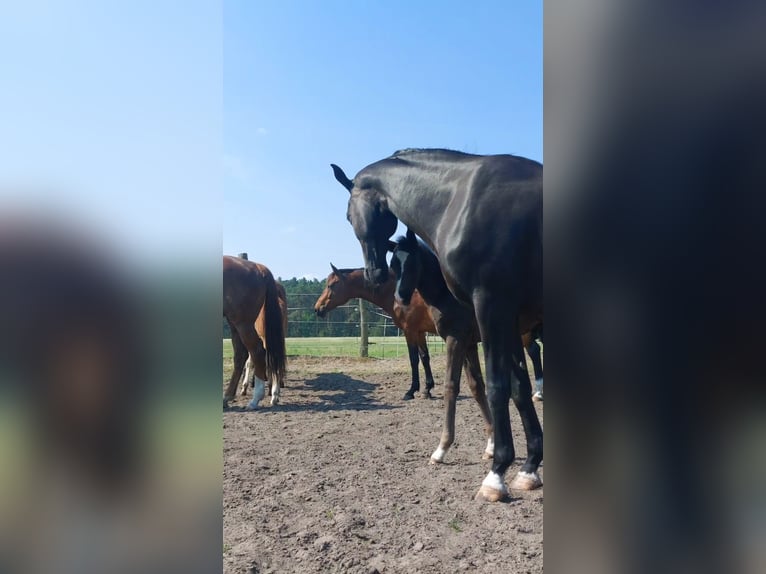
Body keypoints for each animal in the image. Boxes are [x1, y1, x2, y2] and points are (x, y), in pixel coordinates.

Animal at [316, 266, 438, 400]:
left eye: (331, 285)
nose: (317, 308)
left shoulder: (409, 331)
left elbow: (413, 359)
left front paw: (411, 391)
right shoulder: (419, 331)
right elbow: (424, 357)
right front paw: (427, 389)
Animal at [390, 231, 544, 468]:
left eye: (412, 262)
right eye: (393, 265)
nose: (400, 298)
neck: (446, 295)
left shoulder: (455, 339)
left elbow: (451, 387)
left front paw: (441, 449)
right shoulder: (469, 343)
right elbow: (476, 387)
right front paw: (491, 445)